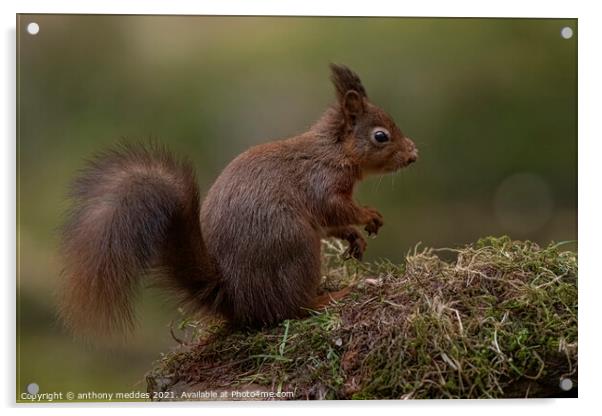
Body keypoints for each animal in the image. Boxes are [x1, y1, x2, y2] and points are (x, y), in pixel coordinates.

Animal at [59, 66, 418, 338]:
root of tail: (236, 298)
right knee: (291, 310)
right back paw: (331, 297)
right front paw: (369, 215)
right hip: (296, 243)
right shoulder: (321, 182)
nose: (414, 154)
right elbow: (335, 209)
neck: (334, 150)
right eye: (381, 136)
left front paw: (354, 237)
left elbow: (333, 224)